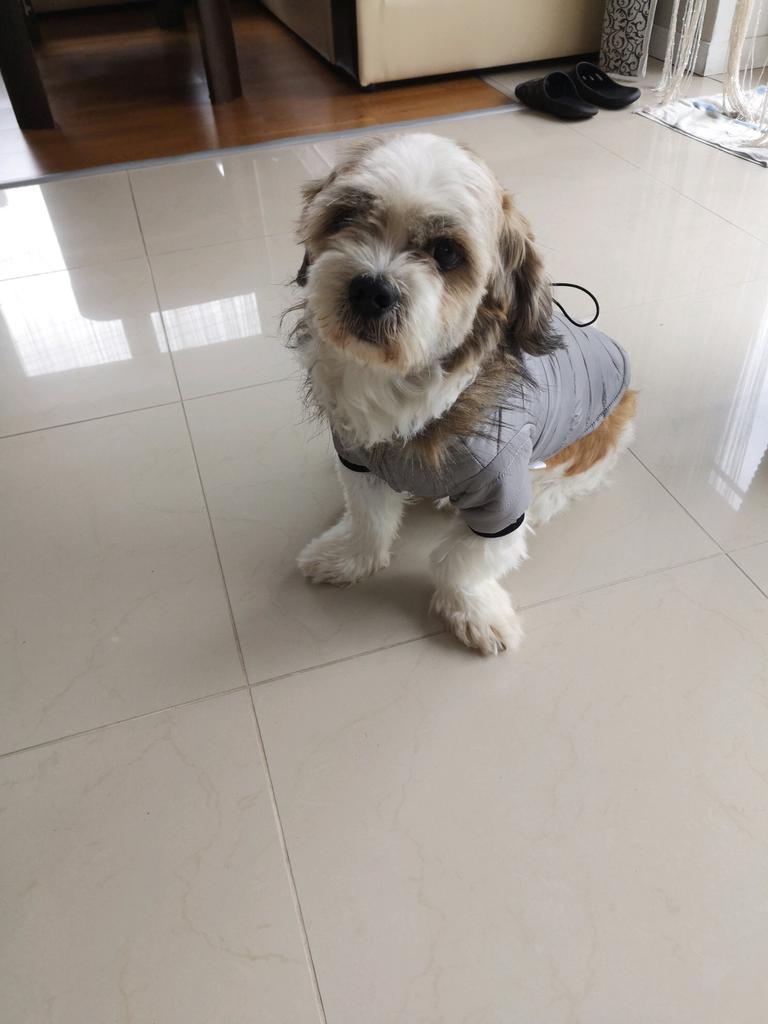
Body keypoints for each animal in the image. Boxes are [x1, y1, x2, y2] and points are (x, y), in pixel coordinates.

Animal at [288, 132, 635, 655]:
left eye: (447, 253)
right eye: (345, 218)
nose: (371, 288)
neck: (404, 384)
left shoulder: (502, 497)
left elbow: (465, 561)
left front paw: (472, 609)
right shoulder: (359, 458)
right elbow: (369, 519)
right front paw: (349, 556)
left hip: (593, 440)